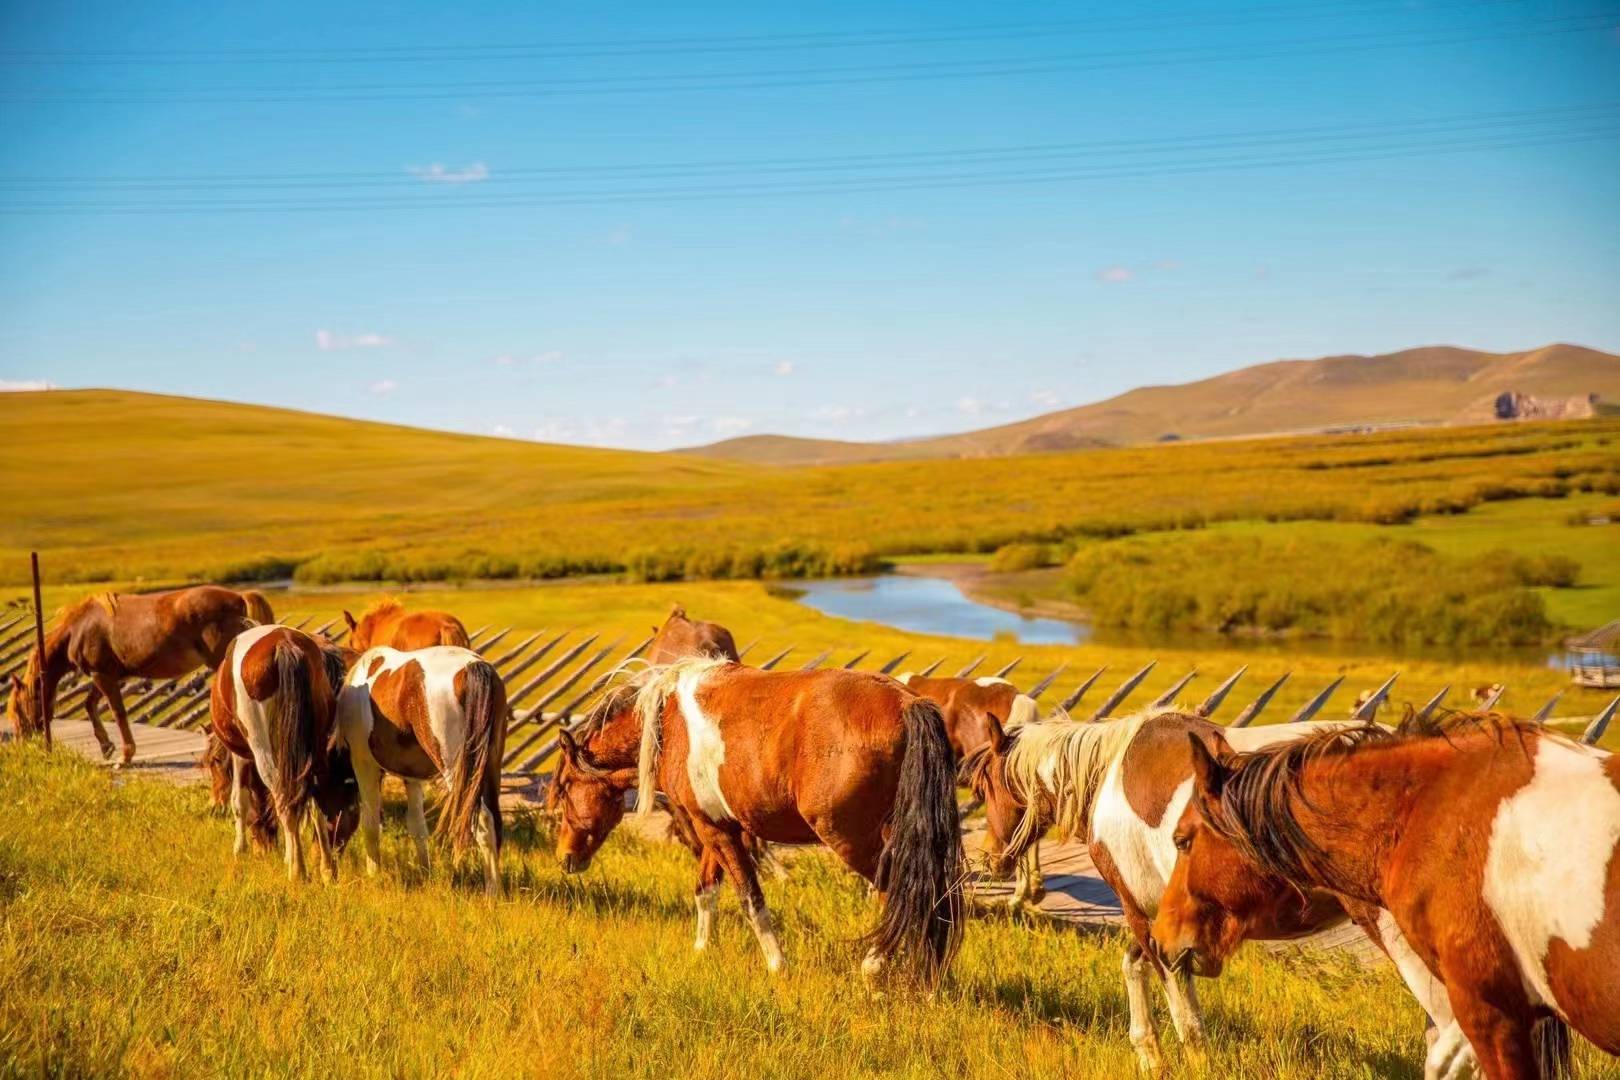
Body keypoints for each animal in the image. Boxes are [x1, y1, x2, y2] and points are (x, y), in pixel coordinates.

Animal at [8, 586, 262, 764]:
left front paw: (125, 755)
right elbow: (90, 704)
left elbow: (117, 712)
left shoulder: (101, 675)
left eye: (19, 710)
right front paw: (106, 746)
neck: (78, 628)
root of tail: (239, 598)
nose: (22, 746)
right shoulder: (109, 675)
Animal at [550, 660, 965, 990]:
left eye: (566, 786)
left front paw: (777, 965)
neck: (668, 724)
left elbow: (750, 897)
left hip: (853, 840)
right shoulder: (718, 826)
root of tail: (907, 703)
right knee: (932, 895)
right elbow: (706, 889)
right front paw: (702, 949)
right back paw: (930, 979)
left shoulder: (715, 831)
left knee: (901, 893)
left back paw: (874, 969)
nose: (565, 857)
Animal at [959, 709, 1458, 1075]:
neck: (1108, 776)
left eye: (984, 786)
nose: (991, 861)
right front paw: (1148, 1056)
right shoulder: (1159, 921)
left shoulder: (1141, 917)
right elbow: (1133, 967)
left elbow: (1186, 1018)